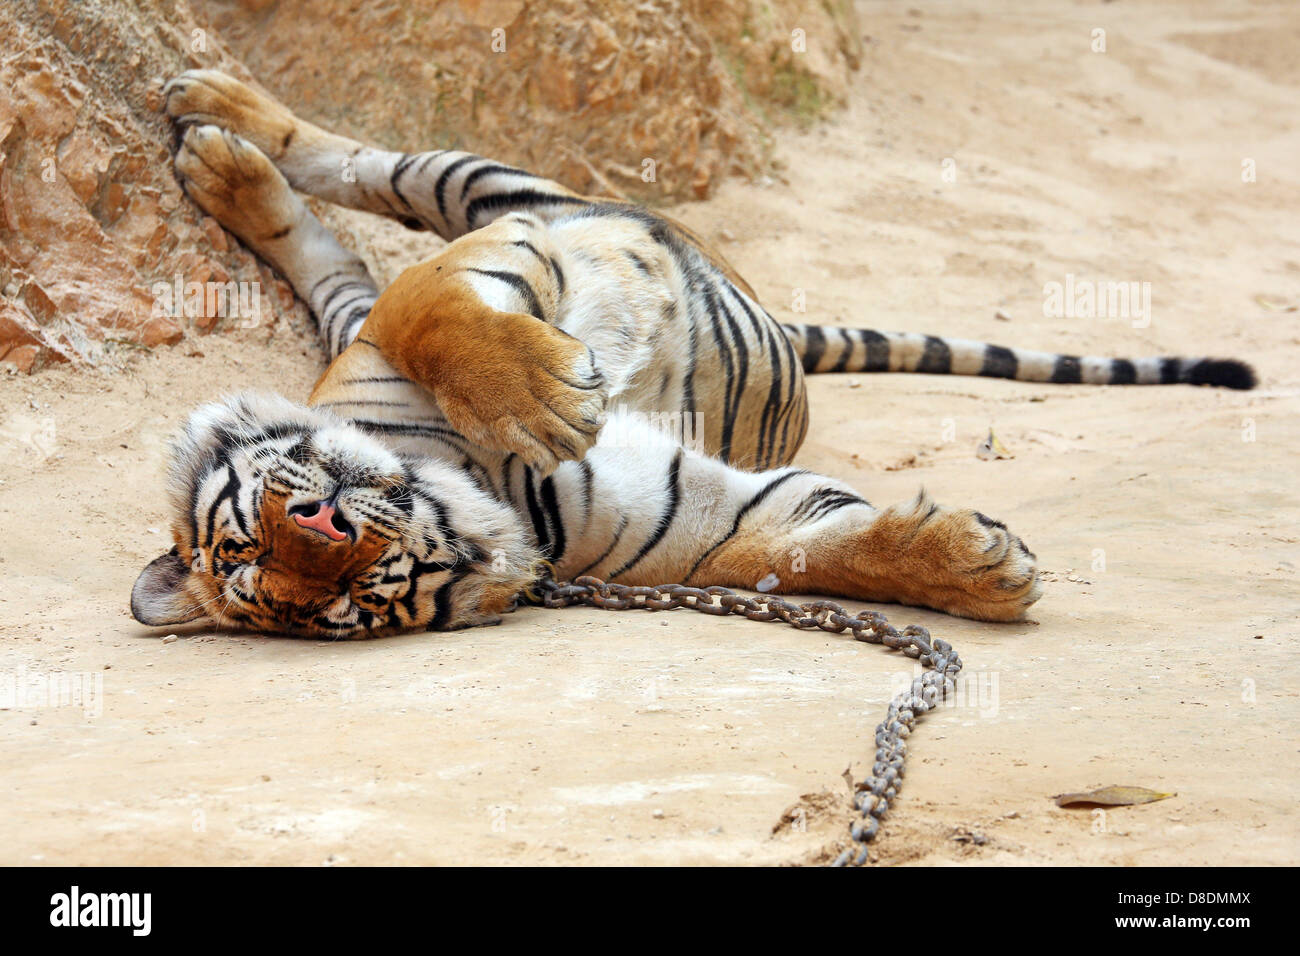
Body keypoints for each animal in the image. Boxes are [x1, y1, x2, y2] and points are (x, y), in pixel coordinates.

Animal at [129, 70, 1248, 639]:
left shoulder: (487, 261)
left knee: (365, 171)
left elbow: (432, 309)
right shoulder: (710, 523)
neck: (470, 484)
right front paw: (978, 572)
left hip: (490, 184)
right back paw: (225, 161)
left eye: (249, 535)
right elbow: (812, 550)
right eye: (335, 602)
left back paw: (221, 127)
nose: (318, 525)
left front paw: (543, 397)